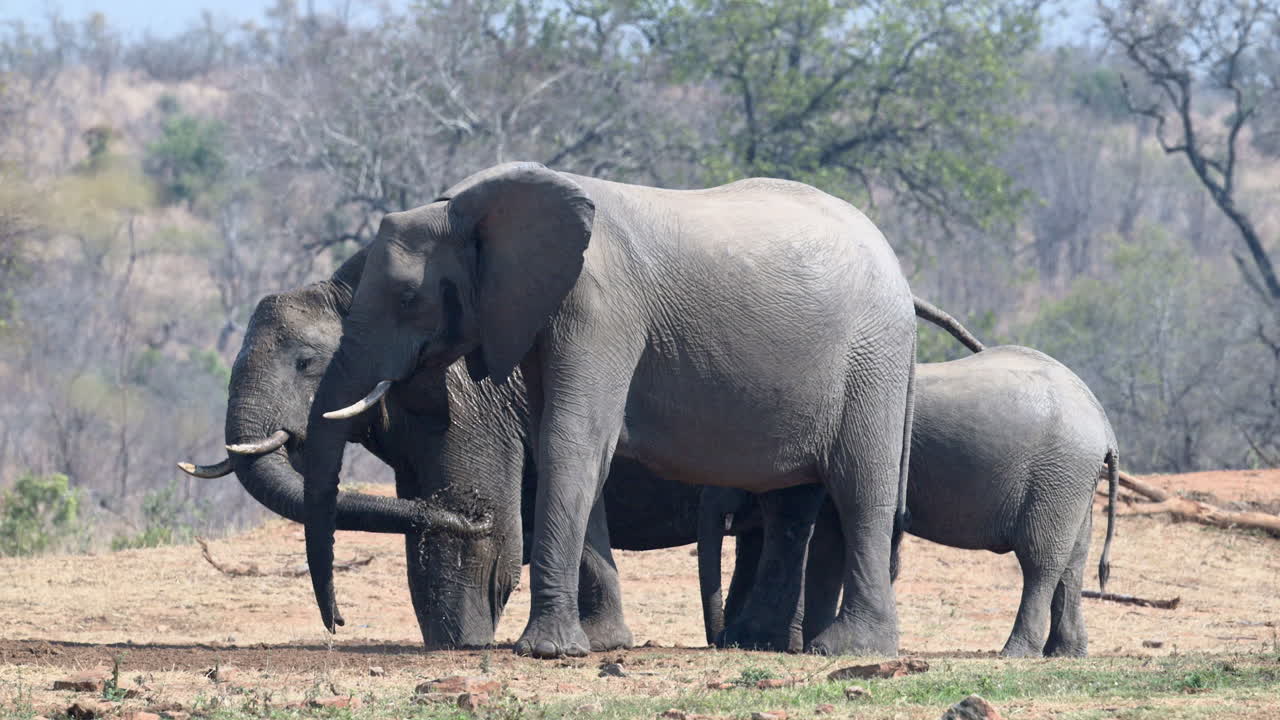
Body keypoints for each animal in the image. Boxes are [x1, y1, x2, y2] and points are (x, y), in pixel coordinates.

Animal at [181, 247, 704, 649]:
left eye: (305, 363)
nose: (338, 623)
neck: (353, 292)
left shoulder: (470, 401)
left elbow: (484, 545)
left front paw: (464, 644)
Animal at [301, 161, 921, 658]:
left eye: (408, 298)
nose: (338, 623)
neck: (468, 207)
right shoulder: (536, 316)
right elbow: (575, 446)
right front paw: (599, 645)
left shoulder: (600, 309)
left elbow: (572, 442)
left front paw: (547, 652)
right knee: (791, 503)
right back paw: (761, 644)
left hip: (873, 361)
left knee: (860, 488)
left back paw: (848, 650)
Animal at [699, 344, 1120, 658]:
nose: (718, 641)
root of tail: (1104, 425)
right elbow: (835, 542)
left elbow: (827, 541)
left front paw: (814, 645)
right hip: (1073, 483)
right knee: (1073, 561)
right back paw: (1065, 653)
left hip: (1057, 476)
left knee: (1040, 561)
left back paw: (1015, 653)